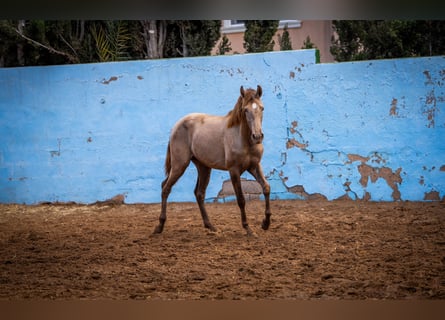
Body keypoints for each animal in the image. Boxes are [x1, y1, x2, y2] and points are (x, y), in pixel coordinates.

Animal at [153, 85, 270, 235]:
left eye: (262, 108)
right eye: (245, 110)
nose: (257, 136)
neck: (243, 138)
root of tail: (176, 126)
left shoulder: (254, 166)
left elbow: (266, 188)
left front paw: (265, 223)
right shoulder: (234, 171)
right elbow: (241, 199)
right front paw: (248, 228)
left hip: (203, 167)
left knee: (199, 193)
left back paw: (210, 225)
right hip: (180, 165)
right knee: (165, 188)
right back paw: (160, 226)